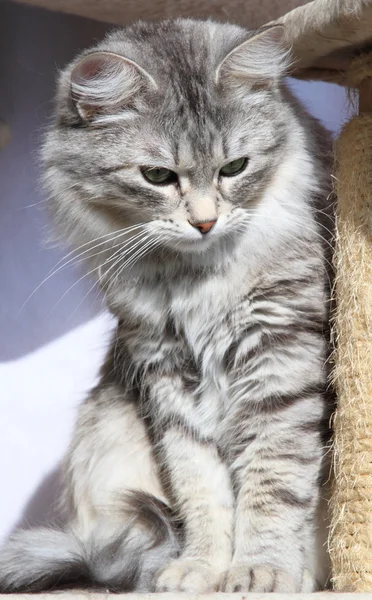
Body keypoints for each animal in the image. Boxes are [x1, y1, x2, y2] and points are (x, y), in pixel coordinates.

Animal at [0, 17, 334, 592]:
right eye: (157, 176)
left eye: (234, 167)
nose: (205, 221)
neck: (193, 280)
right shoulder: (166, 374)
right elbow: (200, 491)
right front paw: (200, 570)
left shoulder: (278, 358)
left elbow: (271, 487)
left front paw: (261, 570)